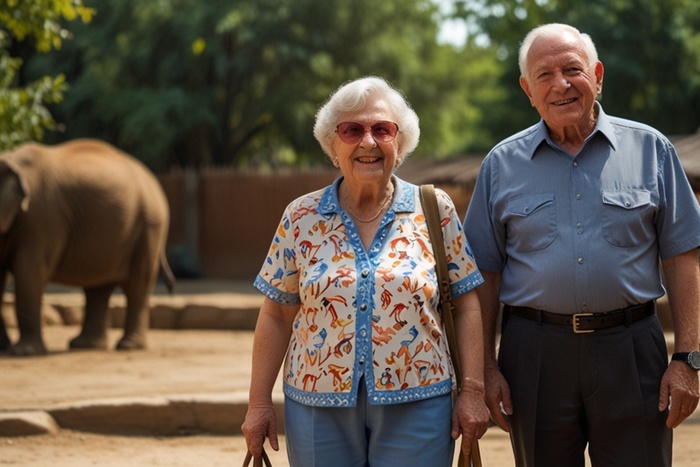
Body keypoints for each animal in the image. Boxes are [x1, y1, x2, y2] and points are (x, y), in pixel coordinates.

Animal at [0, 139, 174, 358]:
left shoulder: (41, 219)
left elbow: (29, 271)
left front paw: (22, 352)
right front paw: (4, 347)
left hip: (150, 225)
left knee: (136, 283)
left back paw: (128, 346)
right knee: (99, 286)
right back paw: (83, 345)